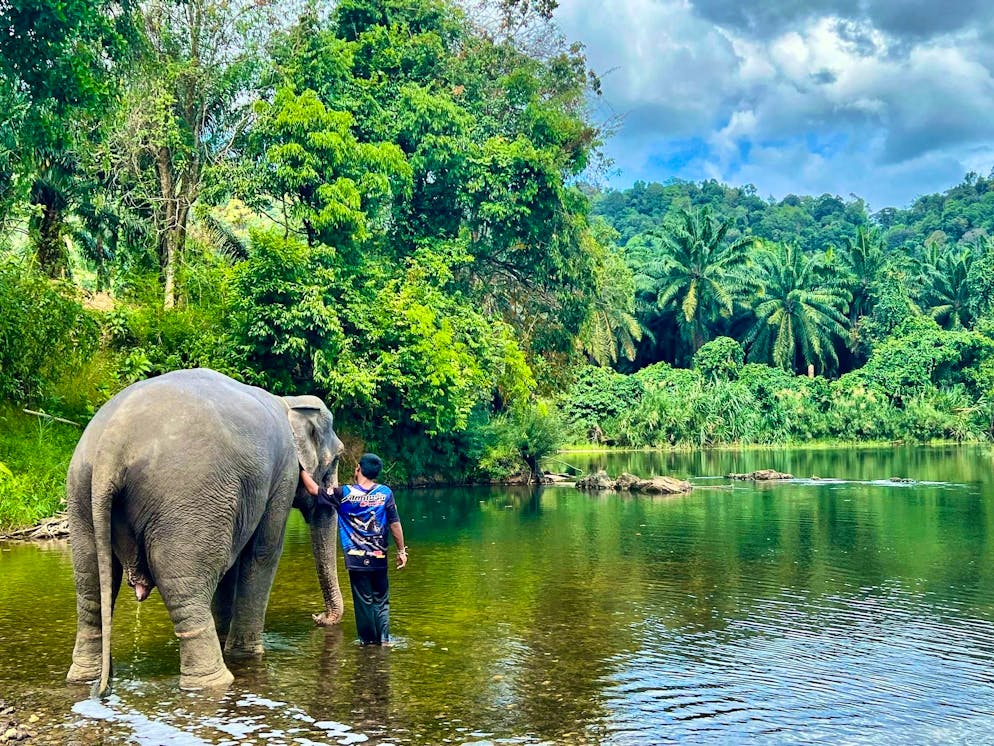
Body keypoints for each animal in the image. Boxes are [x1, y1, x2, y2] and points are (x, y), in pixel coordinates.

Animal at [65, 368, 346, 694]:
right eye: (337, 459)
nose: (319, 617)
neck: (289, 402)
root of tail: (111, 446)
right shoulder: (283, 476)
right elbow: (262, 553)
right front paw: (246, 653)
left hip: (81, 494)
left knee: (91, 586)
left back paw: (85, 678)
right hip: (185, 501)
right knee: (186, 588)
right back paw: (213, 682)